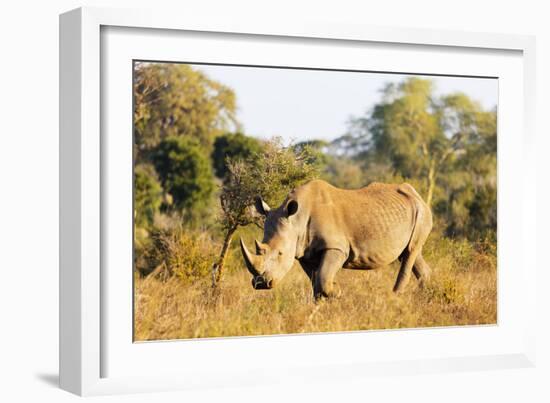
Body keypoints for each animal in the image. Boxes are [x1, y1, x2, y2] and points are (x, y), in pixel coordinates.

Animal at [242, 180, 436, 300]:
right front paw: (321, 304)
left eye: (280, 253)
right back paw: (425, 296)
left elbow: (322, 278)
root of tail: (416, 194)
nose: (261, 284)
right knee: (410, 253)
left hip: (422, 212)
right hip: (412, 213)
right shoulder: (304, 252)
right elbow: (316, 282)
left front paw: (337, 291)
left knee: (410, 252)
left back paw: (395, 298)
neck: (297, 219)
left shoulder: (336, 248)